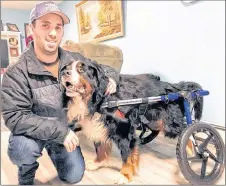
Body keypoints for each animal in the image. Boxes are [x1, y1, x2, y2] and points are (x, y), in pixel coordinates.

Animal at [59, 53, 203, 184]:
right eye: (66, 67)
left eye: (81, 70)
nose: (64, 73)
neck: (99, 101)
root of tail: (173, 86)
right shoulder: (98, 127)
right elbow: (100, 148)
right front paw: (98, 162)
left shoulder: (124, 131)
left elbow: (127, 156)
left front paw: (125, 175)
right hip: (153, 119)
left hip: (169, 123)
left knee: (186, 129)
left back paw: (191, 150)